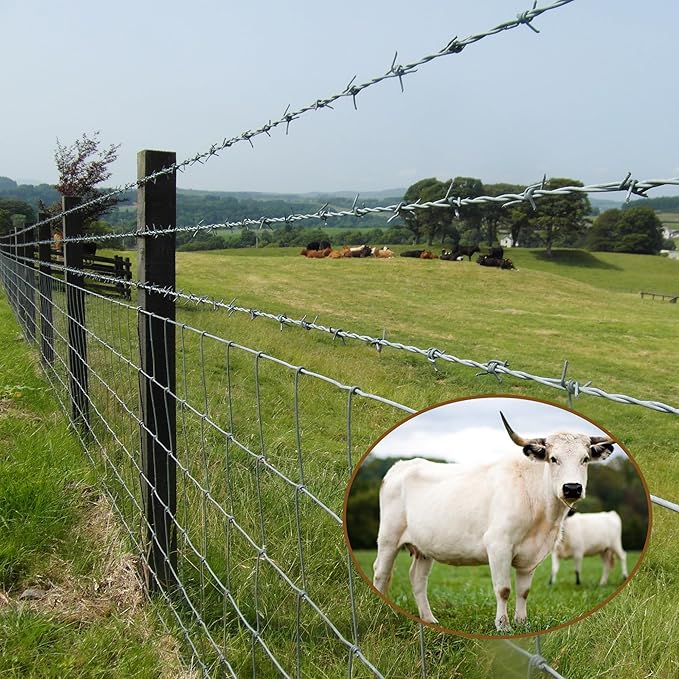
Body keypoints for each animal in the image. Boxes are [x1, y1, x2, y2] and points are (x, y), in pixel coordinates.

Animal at [372, 412, 615, 631]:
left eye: (585, 459)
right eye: (553, 458)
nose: (572, 488)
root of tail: (402, 465)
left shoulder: (531, 555)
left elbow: (523, 591)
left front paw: (522, 623)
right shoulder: (499, 545)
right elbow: (504, 589)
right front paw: (503, 626)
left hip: (424, 547)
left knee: (418, 579)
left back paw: (429, 619)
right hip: (388, 538)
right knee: (381, 573)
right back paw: (383, 611)